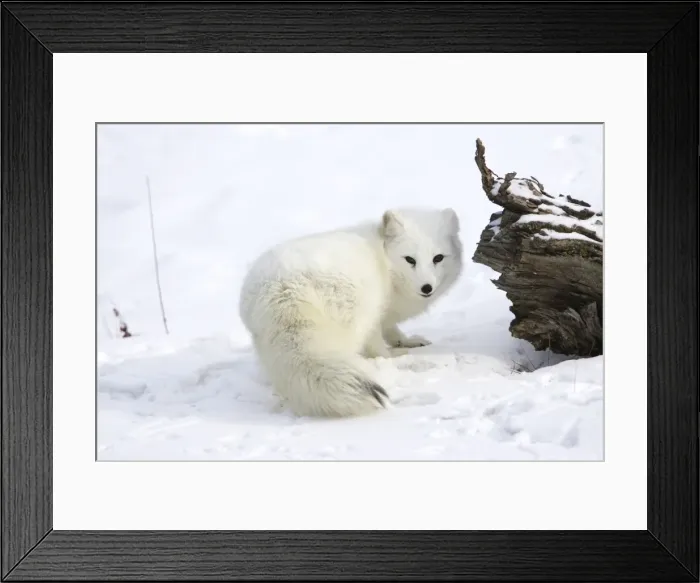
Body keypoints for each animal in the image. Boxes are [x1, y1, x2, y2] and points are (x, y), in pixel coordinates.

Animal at [238, 206, 463, 418]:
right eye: (410, 259)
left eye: (438, 258)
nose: (427, 287)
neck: (386, 262)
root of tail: (282, 288)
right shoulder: (376, 314)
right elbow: (378, 344)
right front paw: (395, 353)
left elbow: (392, 330)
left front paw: (406, 341)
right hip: (359, 312)